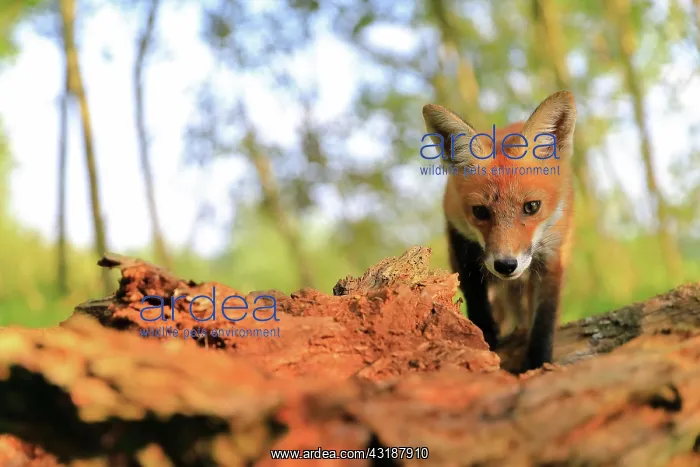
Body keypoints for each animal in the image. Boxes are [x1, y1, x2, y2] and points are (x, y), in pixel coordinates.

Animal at [421, 91, 576, 373]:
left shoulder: (552, 255)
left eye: (532, 207)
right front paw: (485, 343)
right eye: (481, 212)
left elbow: (544, 320)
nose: (505, 265)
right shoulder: (462, 241)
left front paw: (538, 365)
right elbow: (477, 301)